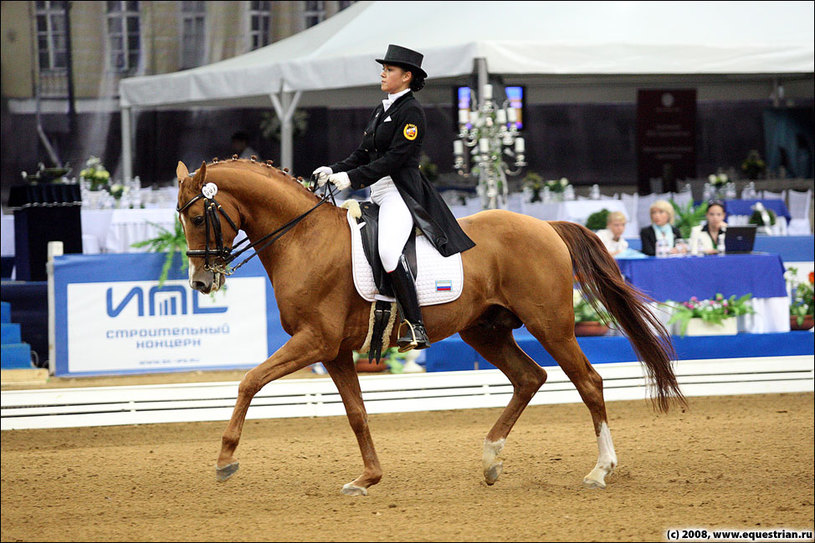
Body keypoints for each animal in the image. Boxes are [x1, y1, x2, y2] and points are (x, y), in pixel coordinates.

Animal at [175, 158, 684, 498]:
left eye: (198, 217)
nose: (200, 283)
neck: (304, 240)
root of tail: (545, 226)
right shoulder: (333, 351)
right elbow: (356, 413)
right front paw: (368, 478)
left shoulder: (313, 341)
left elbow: (249, 381)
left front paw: (225, 460)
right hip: (485, 330)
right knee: (530, 377)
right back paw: (491, 460)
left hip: (551, 325)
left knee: (588, 381)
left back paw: (600, 470)